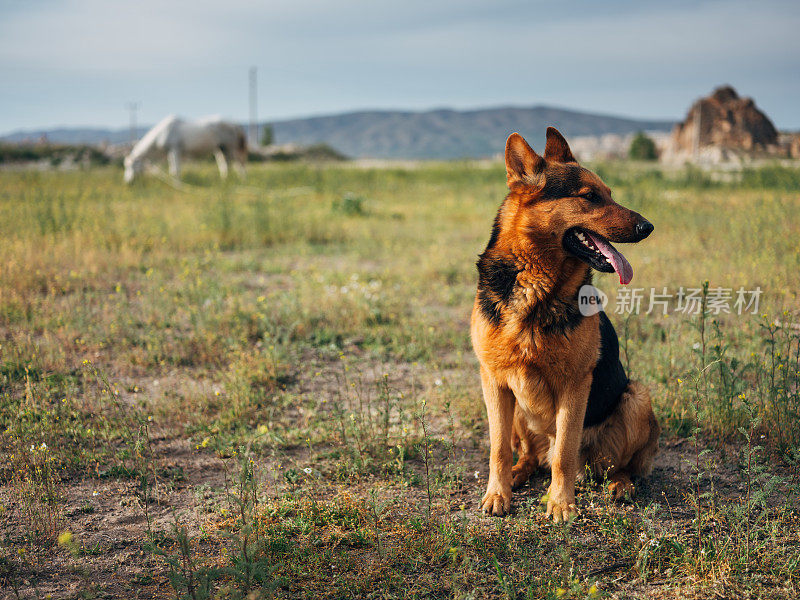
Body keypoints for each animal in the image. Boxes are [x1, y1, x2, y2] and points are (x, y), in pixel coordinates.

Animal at [472, 129, 660, 524]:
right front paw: (498, 494)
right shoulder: (493, 381)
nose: (647, 227)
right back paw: (519, 472)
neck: (535, 288)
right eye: (589, 197)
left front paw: (560, 503)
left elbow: (564, 454)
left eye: (610, 194)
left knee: (619, 465)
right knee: (527, 454)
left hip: (637, 397)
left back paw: (621, 485)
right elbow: (498, 449)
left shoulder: (575, 385)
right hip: (517, 411)